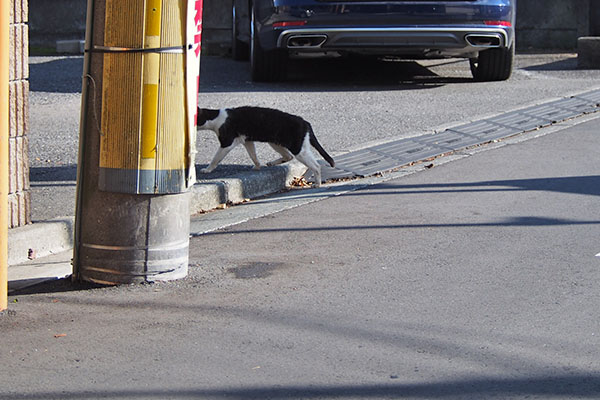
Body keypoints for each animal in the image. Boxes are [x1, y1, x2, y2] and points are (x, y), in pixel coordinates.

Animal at [198, 106, 336, 188]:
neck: (215, 117)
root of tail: (306, 122)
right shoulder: (247, 141)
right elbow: (253, 155)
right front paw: (257, 166)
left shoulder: (226, 143)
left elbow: (215, 159)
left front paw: (207, 169)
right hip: (276, 143)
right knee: (288, 156)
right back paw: (271, 163)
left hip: (297, 149)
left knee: (316, 166)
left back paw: (317, 184)